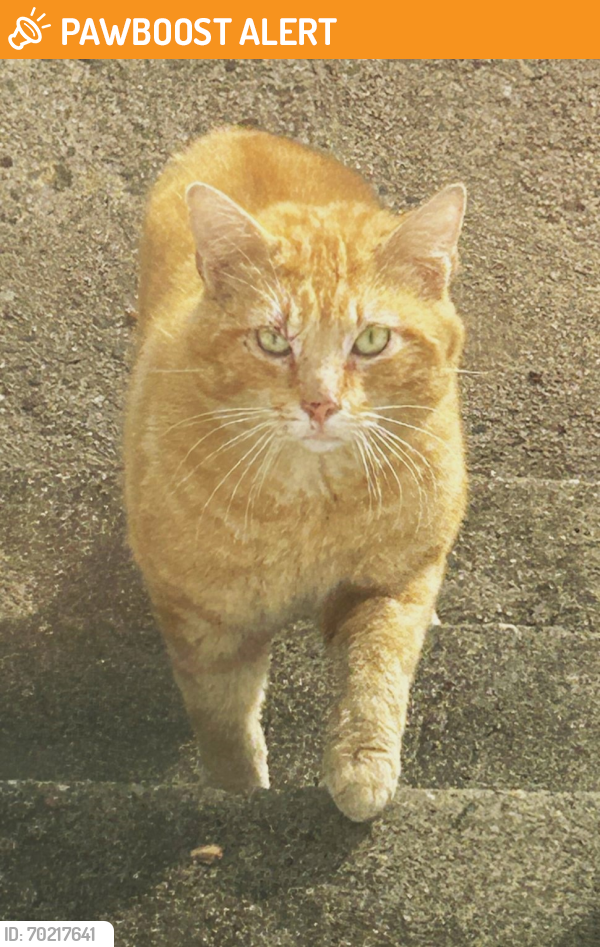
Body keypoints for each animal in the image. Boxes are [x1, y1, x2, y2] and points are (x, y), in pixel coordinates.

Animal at [124, 126, 466, 824]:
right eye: (273, 340)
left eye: (372, 339)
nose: (320, 403)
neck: (309, 510)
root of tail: (243, 131)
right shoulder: (204, 618)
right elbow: (223, 721)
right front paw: (237, 792)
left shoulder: (388, 584)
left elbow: (376, 675)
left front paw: (361, 766)